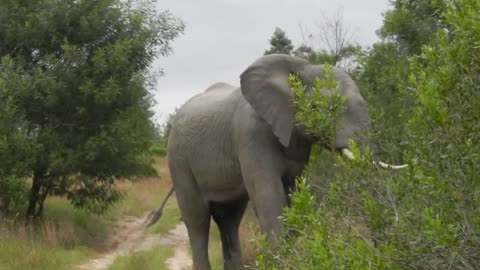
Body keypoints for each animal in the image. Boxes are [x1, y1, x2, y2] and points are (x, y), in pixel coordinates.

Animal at [145, 54, 404, 270]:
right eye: (331, 108)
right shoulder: (250, 136)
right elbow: (270, 196)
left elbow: (293, 196)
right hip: (179, 160)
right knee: (197, 220)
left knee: (229, 220)